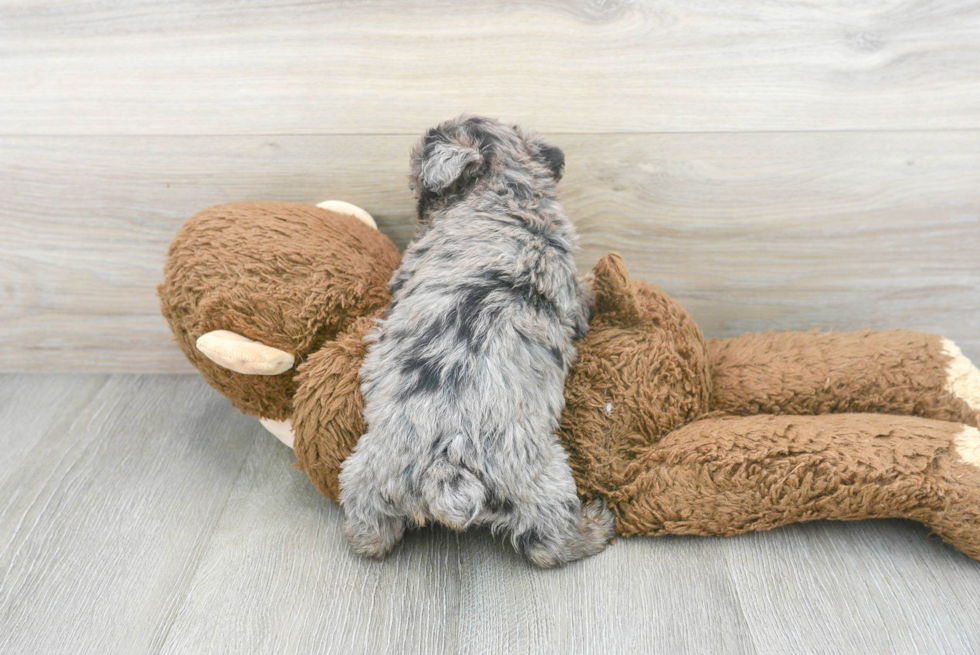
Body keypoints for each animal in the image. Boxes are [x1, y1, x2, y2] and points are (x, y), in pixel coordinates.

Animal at [338, 115, 612, 568]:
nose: (419, 210)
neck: (509, 192)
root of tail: (447, 467)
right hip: (543, 478)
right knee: (548, 544)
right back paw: (595, 528)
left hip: (369, 475)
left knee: (371, 530)